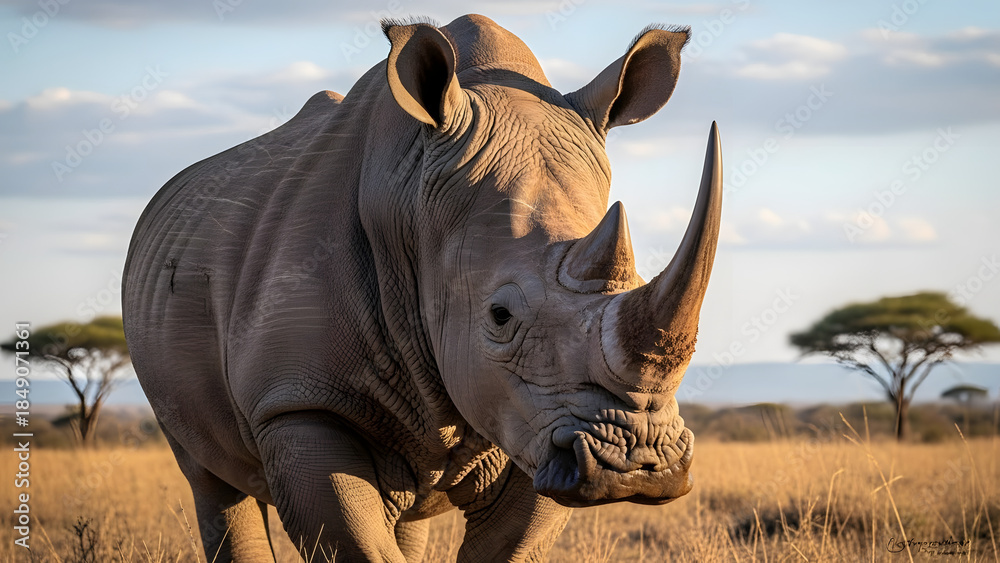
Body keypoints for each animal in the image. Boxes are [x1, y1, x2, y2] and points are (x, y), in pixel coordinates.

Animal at [123, 14, 722, 563]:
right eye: (500, 315)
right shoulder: (297, 404)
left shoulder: (536, 421)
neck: (413, 207)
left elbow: (509, 546)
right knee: (210, 479)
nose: (638, 464)